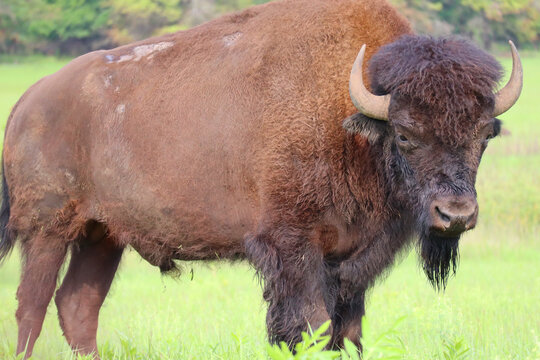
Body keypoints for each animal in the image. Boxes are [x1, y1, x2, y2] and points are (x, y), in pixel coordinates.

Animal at [0, 0, 524, 358]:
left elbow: (347, 331)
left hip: (103, 235)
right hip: (48, 230)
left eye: (485, 134)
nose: (455, 215)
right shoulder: (292, 248)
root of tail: (26, 102)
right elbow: (310, 327)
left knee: (78, 304)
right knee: (32, 305)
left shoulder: (352, 264)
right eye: (405, 134)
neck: (348, 115)